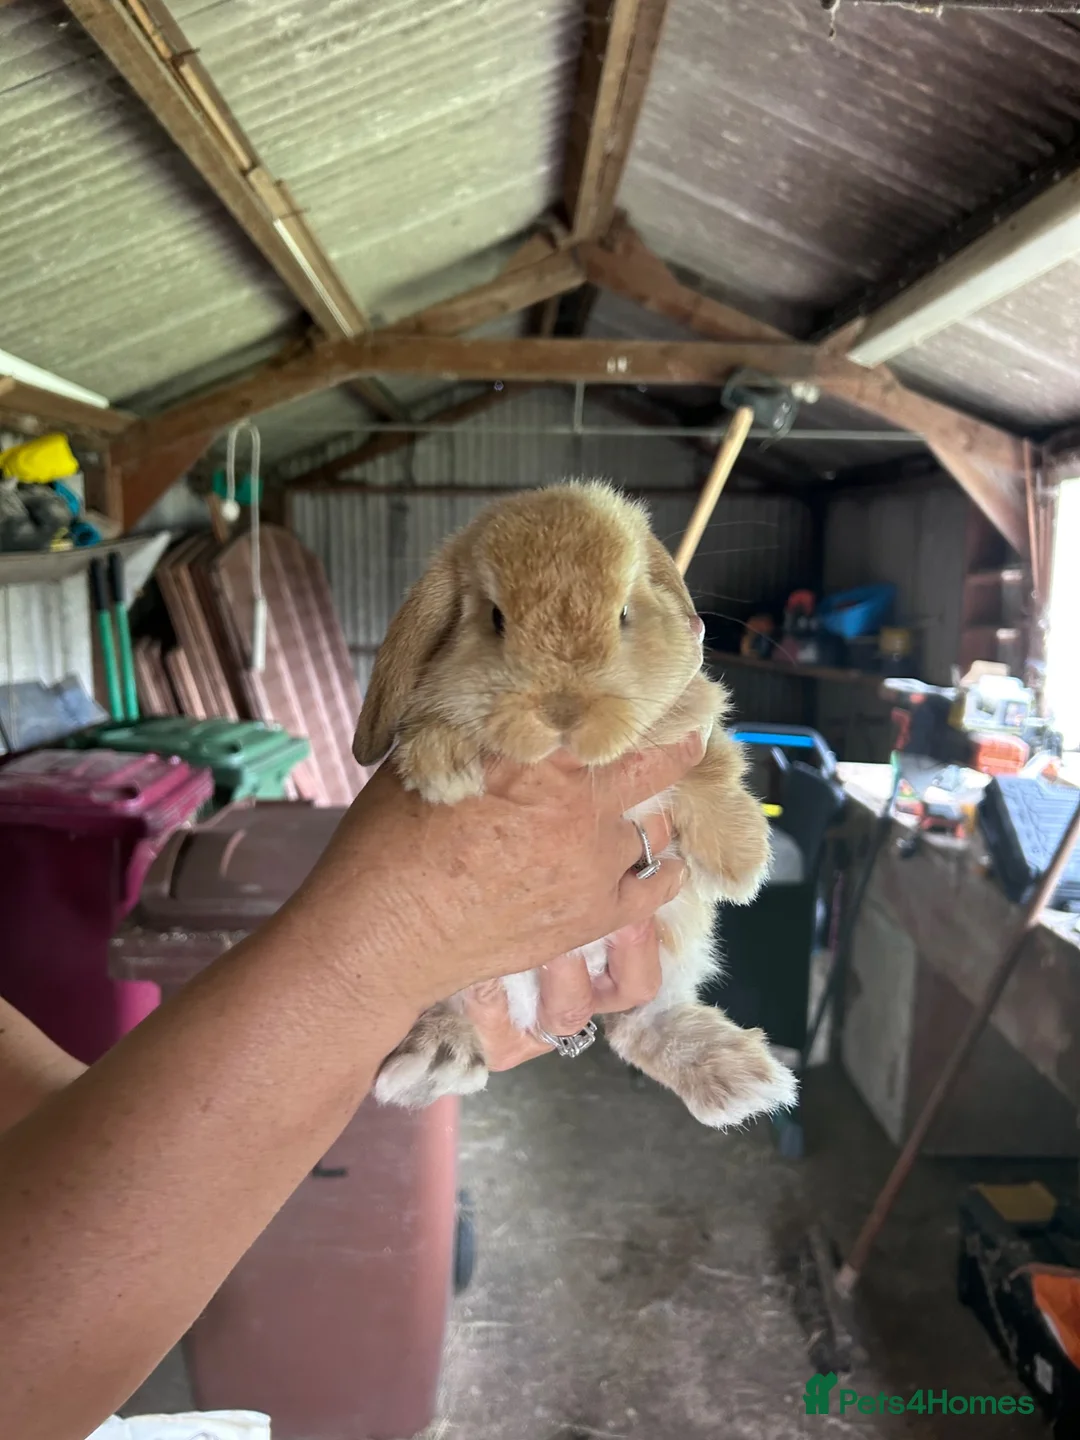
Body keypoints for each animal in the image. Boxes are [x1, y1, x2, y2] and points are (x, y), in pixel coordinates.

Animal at [353, 480, 798, 1129]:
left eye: (624, 614)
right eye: (495, 619)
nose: (562, 710)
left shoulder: (689, 723)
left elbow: (713, 762)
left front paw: (740, 864)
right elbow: (435, 726)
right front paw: (444, 765)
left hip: (671, 947)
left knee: (637, 1024)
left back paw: (738, 1077)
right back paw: (436, 1059)